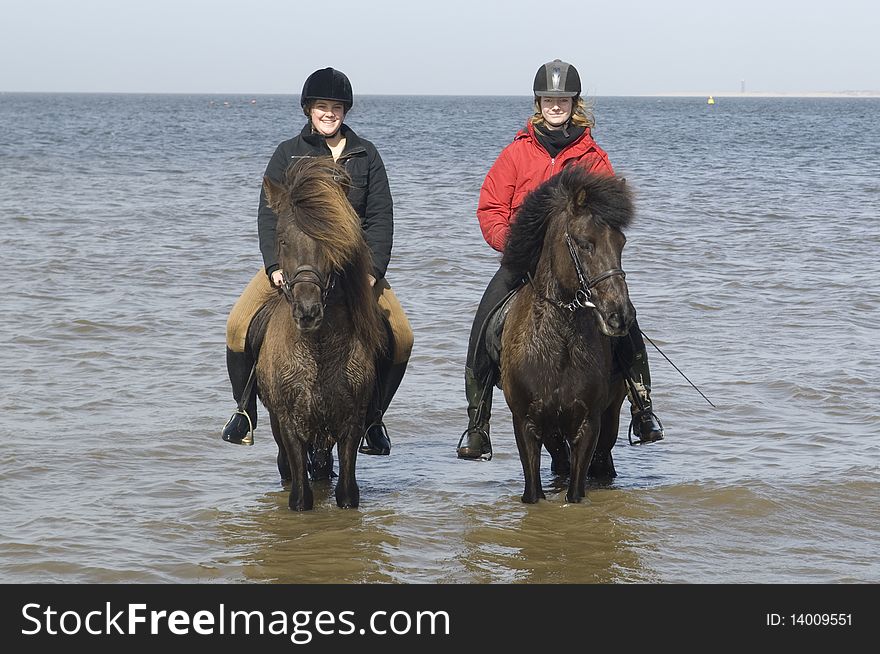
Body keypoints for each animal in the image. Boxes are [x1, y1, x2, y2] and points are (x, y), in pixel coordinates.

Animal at [248, 158, 384, 512]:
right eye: (282, 239)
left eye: (331, 239)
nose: (307, 311)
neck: (317, 350)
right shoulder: (288, 423)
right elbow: (300, 496)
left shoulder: (351, 423)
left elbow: (347, 493)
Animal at [502, 167, 632, 504]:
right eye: (585, 243)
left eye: (621, 242)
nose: (620, 316)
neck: (557, 346)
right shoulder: (526, 424)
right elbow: (532, 491)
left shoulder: (588, 425)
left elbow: (576, 490)